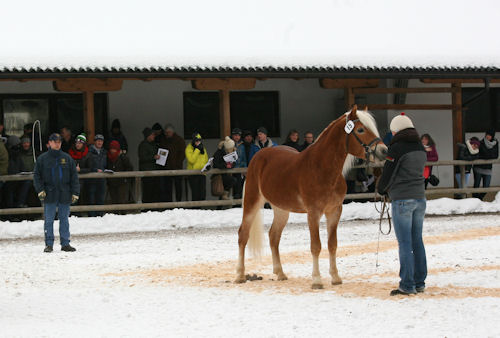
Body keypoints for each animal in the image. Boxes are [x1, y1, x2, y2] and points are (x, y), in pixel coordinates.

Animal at [234, 105, 386, 288]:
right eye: (361, 129)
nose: (384, 150)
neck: (321, 168)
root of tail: (258, 157)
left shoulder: (334, 211)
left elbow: (332, 245)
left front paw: (335, 277)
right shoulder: (313, 213)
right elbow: (316, 246)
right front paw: (317, 280)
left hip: (281, 209)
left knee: (273, 237)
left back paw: (280, 273)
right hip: (252, 202)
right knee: (243, 235)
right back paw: (240, 275)